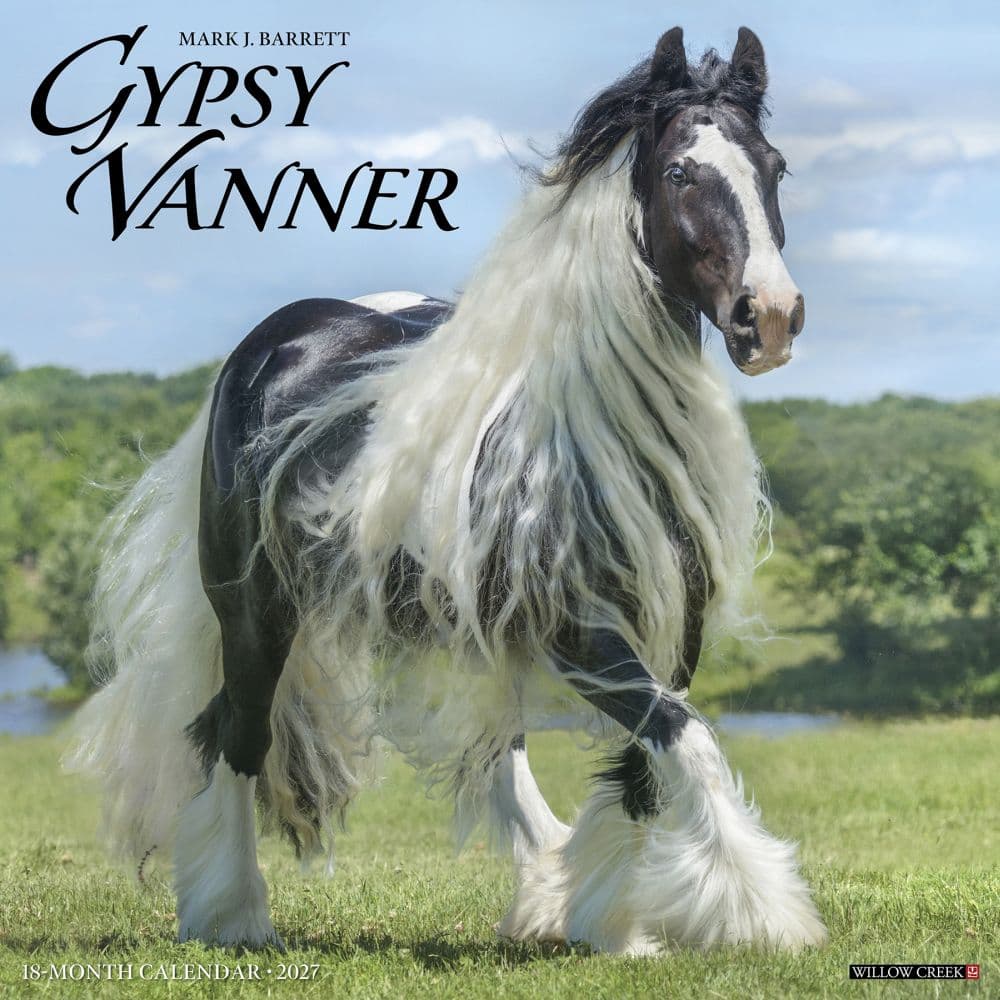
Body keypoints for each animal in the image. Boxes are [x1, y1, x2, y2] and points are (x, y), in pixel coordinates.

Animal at [69, 26, 826, 954]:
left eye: (774, 166)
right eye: (682, 171)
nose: (772, 317)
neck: (584, 428)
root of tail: (271, 342)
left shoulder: (665, 636)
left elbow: (648, 764)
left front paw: (615, 925)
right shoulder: (578, 632)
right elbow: (687, 743)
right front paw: (760, 913)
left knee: (493, 753)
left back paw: (541, 899)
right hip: (255, 610)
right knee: (237, 733)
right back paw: (234, 918)